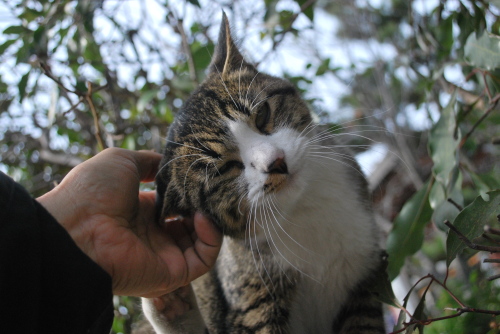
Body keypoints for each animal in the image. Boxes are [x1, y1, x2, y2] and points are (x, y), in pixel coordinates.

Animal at [141, 11, 386, 332]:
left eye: (262, 115)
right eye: (225, 168)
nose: (276, 162)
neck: (303, 208)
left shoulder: (365, 283)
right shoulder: (253, 304)